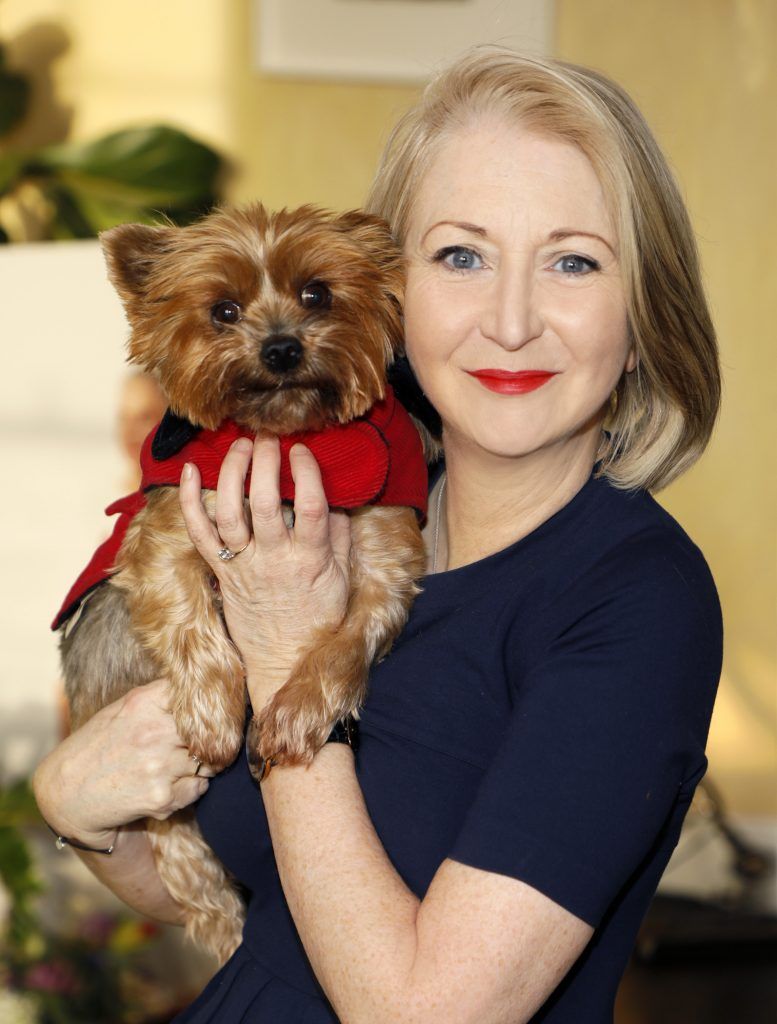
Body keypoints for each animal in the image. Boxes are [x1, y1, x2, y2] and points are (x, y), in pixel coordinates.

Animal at [53, 203, 432, 962]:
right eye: (222, 310)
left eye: (317, 293)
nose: (282, 349)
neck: (292, 442)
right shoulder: (169, 528)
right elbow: (189, 619)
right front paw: (213, 718)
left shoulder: (387, 550)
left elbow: (349, 638)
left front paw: (292, 716)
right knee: (177, 847)